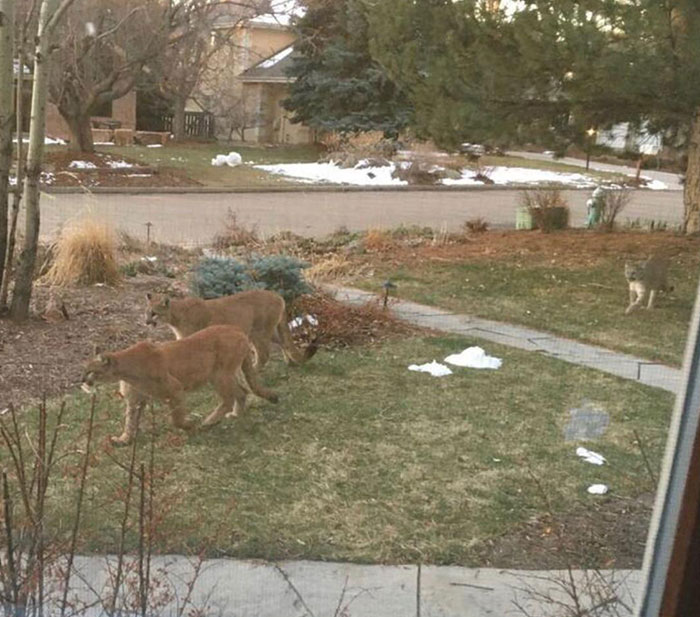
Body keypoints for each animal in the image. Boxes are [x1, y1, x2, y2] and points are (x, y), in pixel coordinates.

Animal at [82, 324, 278, 446]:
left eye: (92, 371)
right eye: (84, 369)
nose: (82, 380)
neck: (126, 370)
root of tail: (236, 328)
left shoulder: (175, 390)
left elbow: (175, 419)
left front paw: (190, 426)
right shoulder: (136, 400)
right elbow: (130, 421)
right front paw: (124, 440)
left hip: (219, 375)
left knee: (230, 397)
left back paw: (209, 421)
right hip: (225, 374)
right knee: (242, 391)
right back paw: (235, 414)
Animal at [146, 288, 316, 366]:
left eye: (154, 313)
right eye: (147, 312)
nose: (146, 322)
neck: (175, 315)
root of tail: (277, 295)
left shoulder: (191, 338)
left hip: (258, 332)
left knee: (263, 355)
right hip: (267, 331)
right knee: (283, 342)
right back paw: (289, 362)